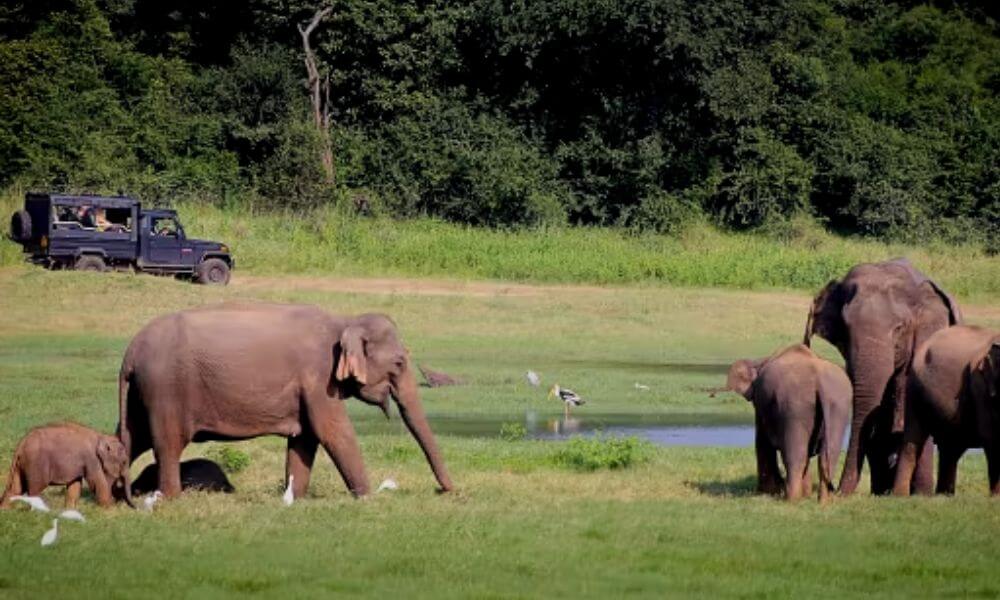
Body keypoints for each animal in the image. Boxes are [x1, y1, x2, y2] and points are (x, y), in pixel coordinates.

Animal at [0, 420, 132, 508]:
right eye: (124, 461)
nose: (119, 502)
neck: (101, 436)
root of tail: (22, 442)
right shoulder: (91, 460)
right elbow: (97, 483)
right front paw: (110, 509)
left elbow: (75, 485)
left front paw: (70, 509)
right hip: (36, 465)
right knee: (35, 490)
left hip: (21, 465)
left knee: (15, 489)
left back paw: (6, 511)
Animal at [116, 302, 454, 500]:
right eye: (399, 363)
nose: (445, 490)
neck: (344, 320)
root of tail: (130, 352)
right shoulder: (319, 377)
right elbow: (332, 431)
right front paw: (367, 498)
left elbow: (305, 439)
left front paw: (295, 498)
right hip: (166, 390)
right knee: (167, 443)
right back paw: (171, 498)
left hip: (142, 394)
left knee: (129, 438)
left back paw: (118, 497)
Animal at [728, 344, 852, 500]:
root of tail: (820, 382)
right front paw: (803, 494)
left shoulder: (761, 402)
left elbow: (762, 440)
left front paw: (769, 492)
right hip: (838, 404)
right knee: (827, 456)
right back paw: (823, 501)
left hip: (795, 406)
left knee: (795, 455)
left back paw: (791, 499)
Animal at [892, 326, 1000, 494]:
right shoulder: (980, 386)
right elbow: (991, 437)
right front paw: (996, 496)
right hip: (914, 389)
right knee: (913, 441)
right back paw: (900, 496)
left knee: (951, 447)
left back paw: (944, 495)